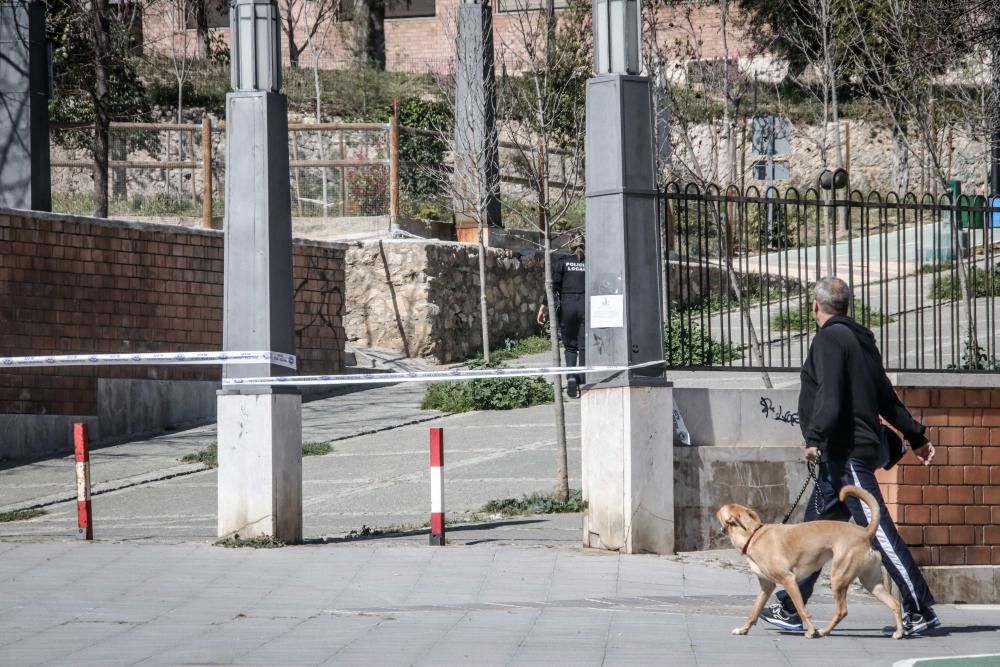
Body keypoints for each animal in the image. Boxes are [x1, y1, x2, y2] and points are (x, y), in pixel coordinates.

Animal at [716, 488, 904, 640]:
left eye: (723, 509)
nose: (718, 506)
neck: (753, 534)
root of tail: (865, 532)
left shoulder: (789, 580)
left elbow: (801, 609)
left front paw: (811, 630)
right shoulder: (766, 586)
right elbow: (754, 611)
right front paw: (743, 629)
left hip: (839, 578)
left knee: (841, 611)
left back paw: (823, 631)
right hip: (872, 583)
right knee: (895, 603)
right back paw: (900, 632)